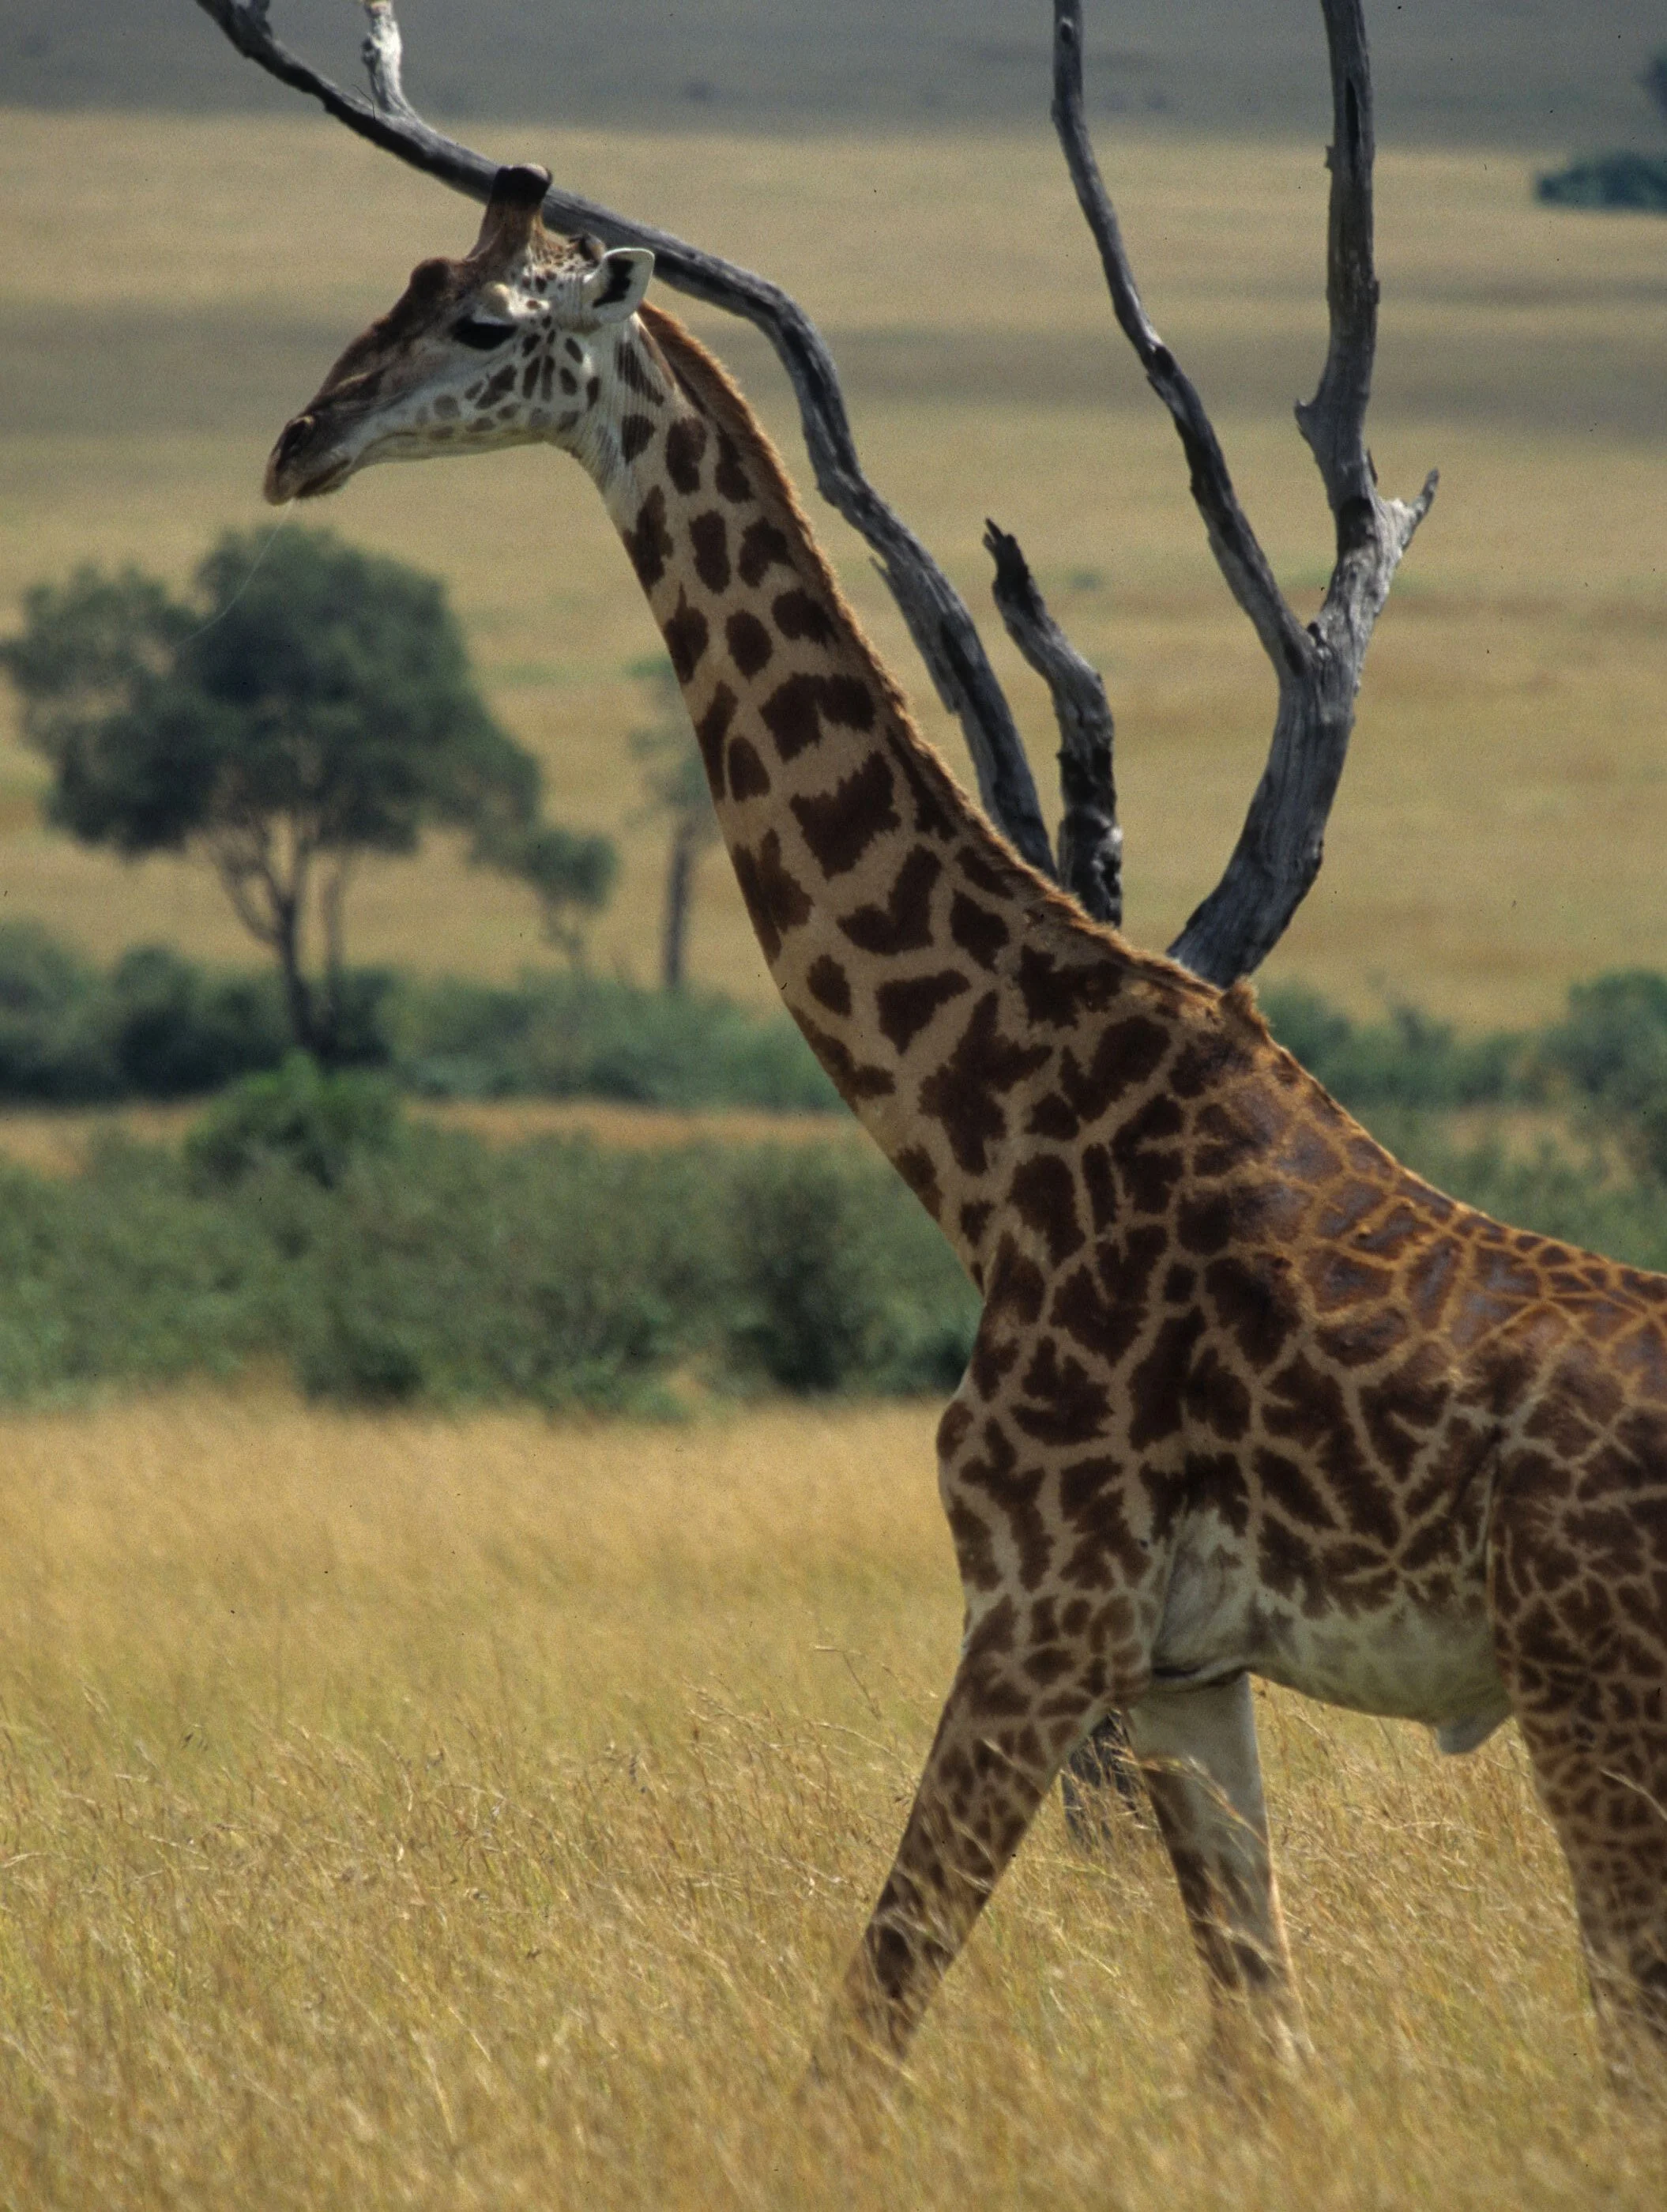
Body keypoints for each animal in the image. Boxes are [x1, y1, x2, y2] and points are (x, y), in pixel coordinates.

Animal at [266, 165, 1667, 2083]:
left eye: (483, 322)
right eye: (389, 294)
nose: (299, 442)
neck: (991, 1144)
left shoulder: (1039, 1611)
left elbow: (867, 2018)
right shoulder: (1183, 1667)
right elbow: (1258, 2050)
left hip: (1597, 1697)